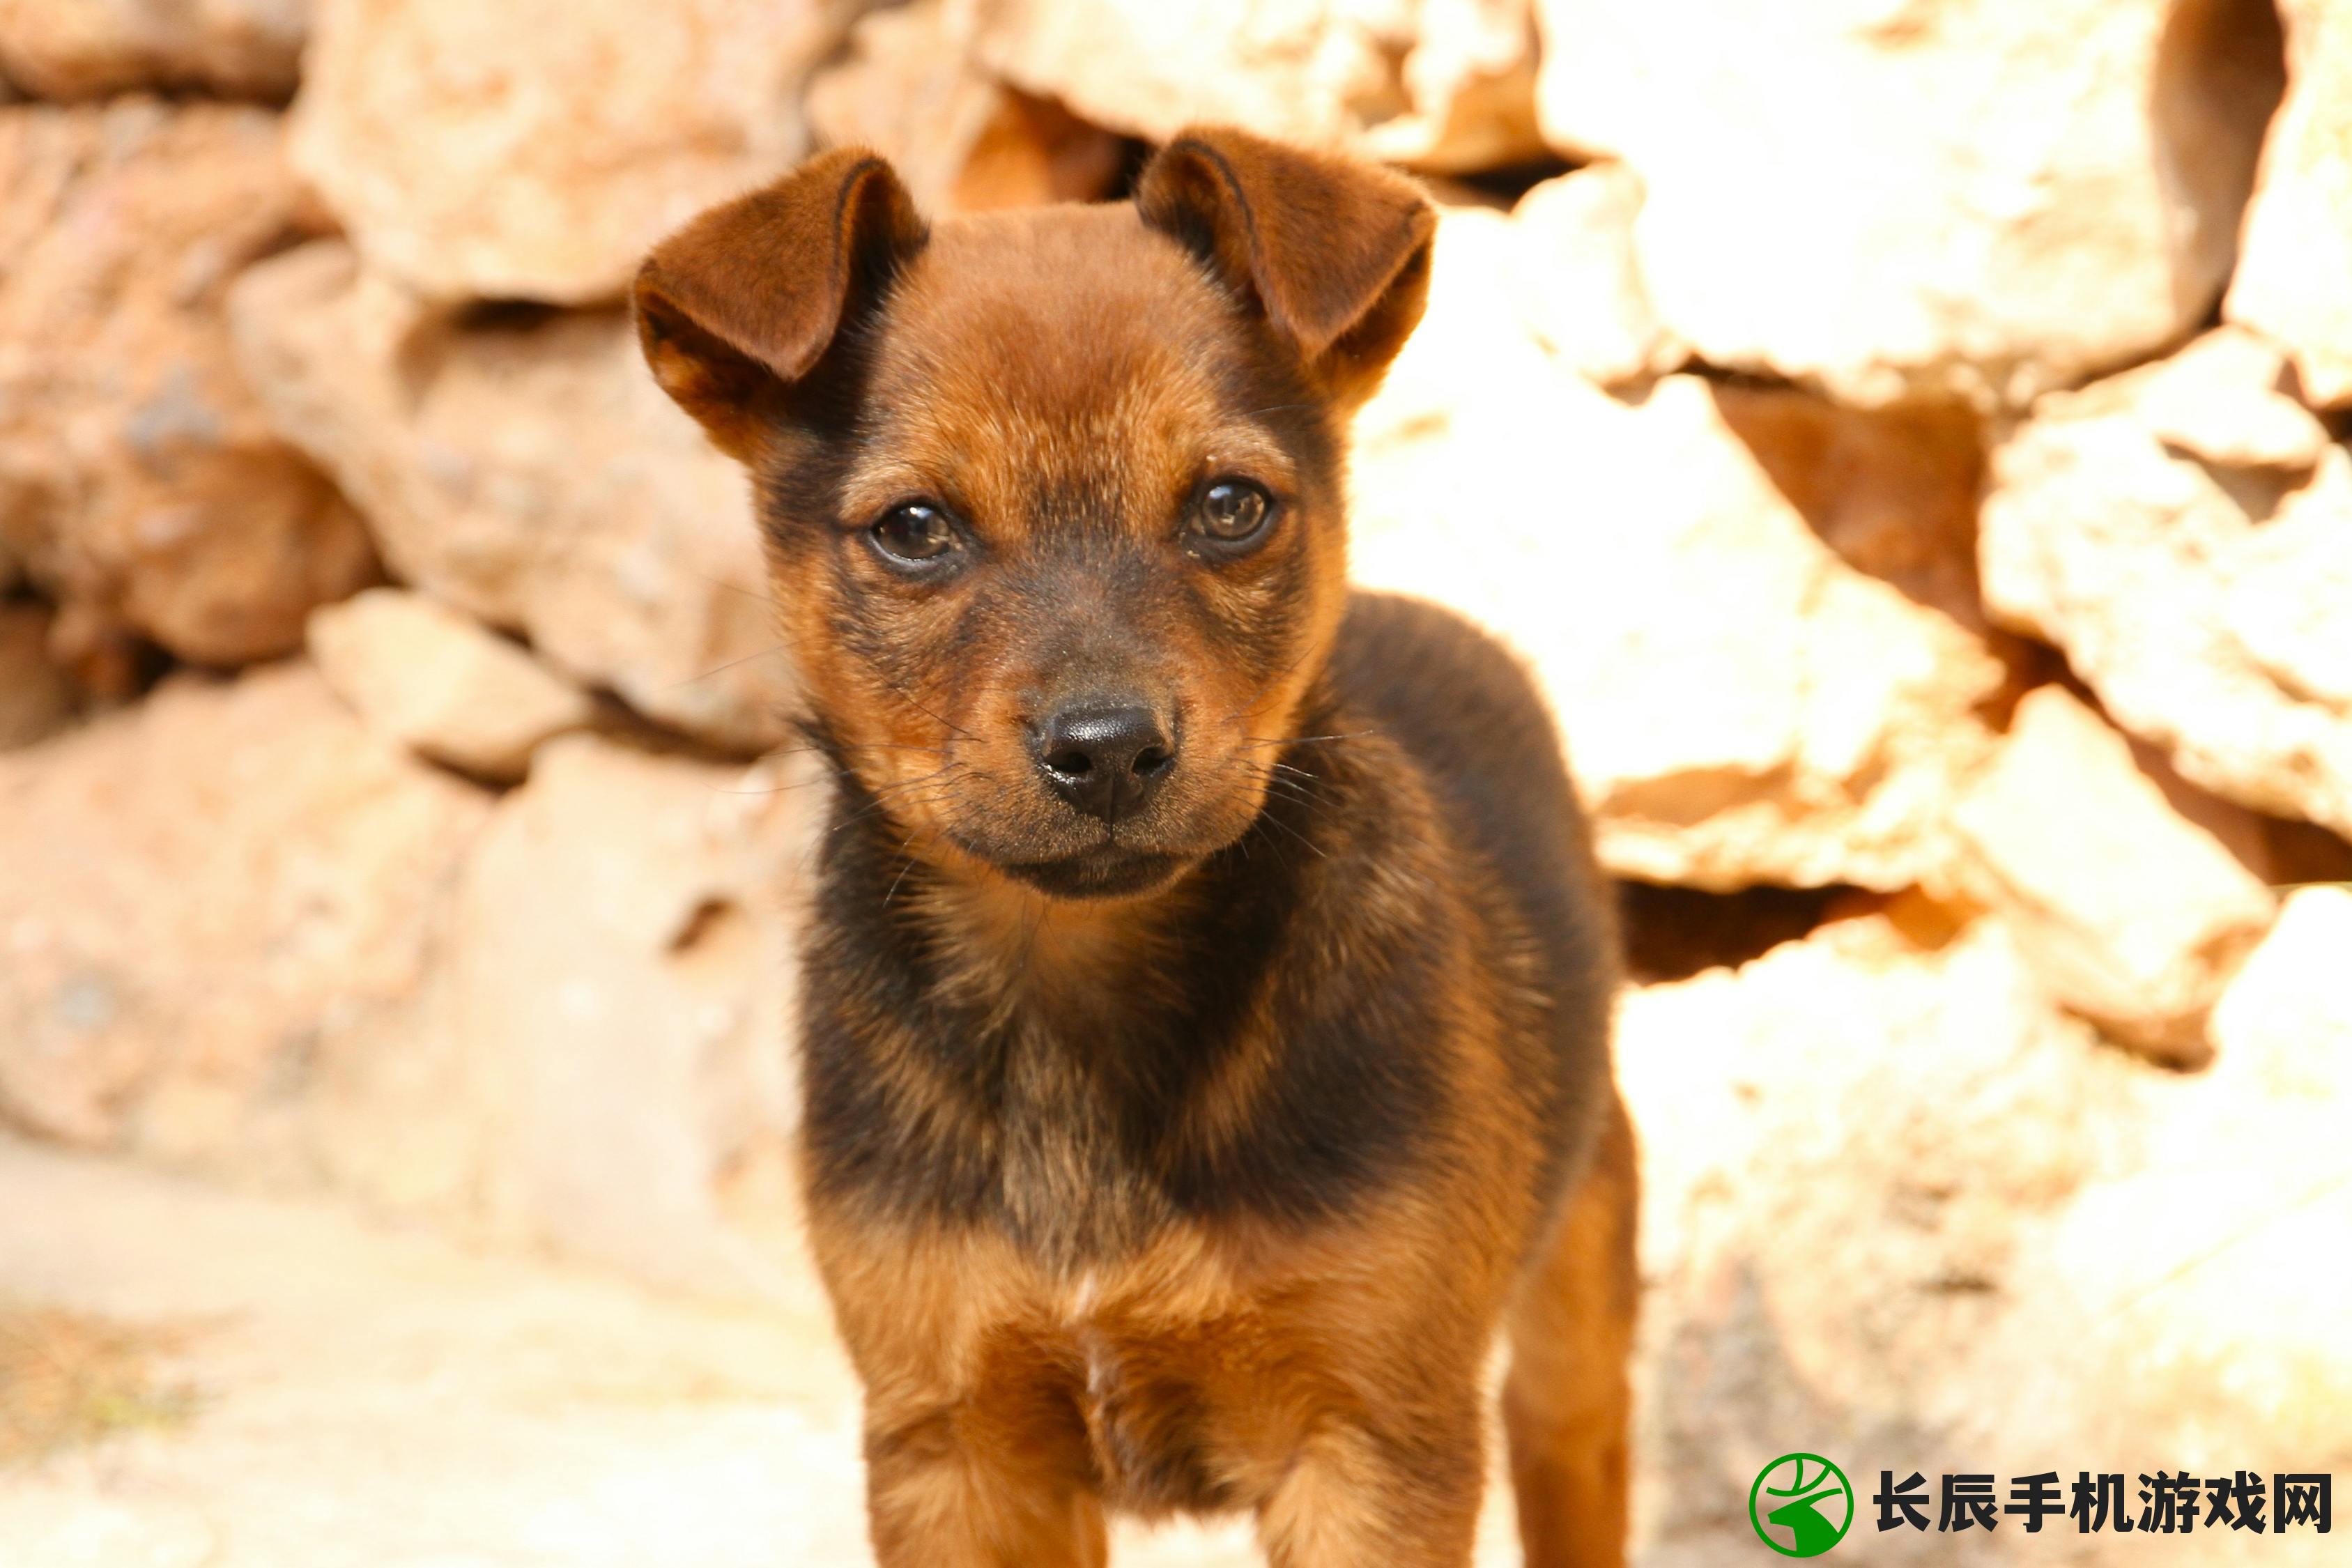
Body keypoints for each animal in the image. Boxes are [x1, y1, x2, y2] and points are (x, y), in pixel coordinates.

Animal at [635, 125, 1646, 1568]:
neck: (1071, 990)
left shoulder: (1374, 1441)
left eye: (1231, 506)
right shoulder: (954, 1444)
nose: (1107, 749)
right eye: (913, 530)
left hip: (1578, 1278)